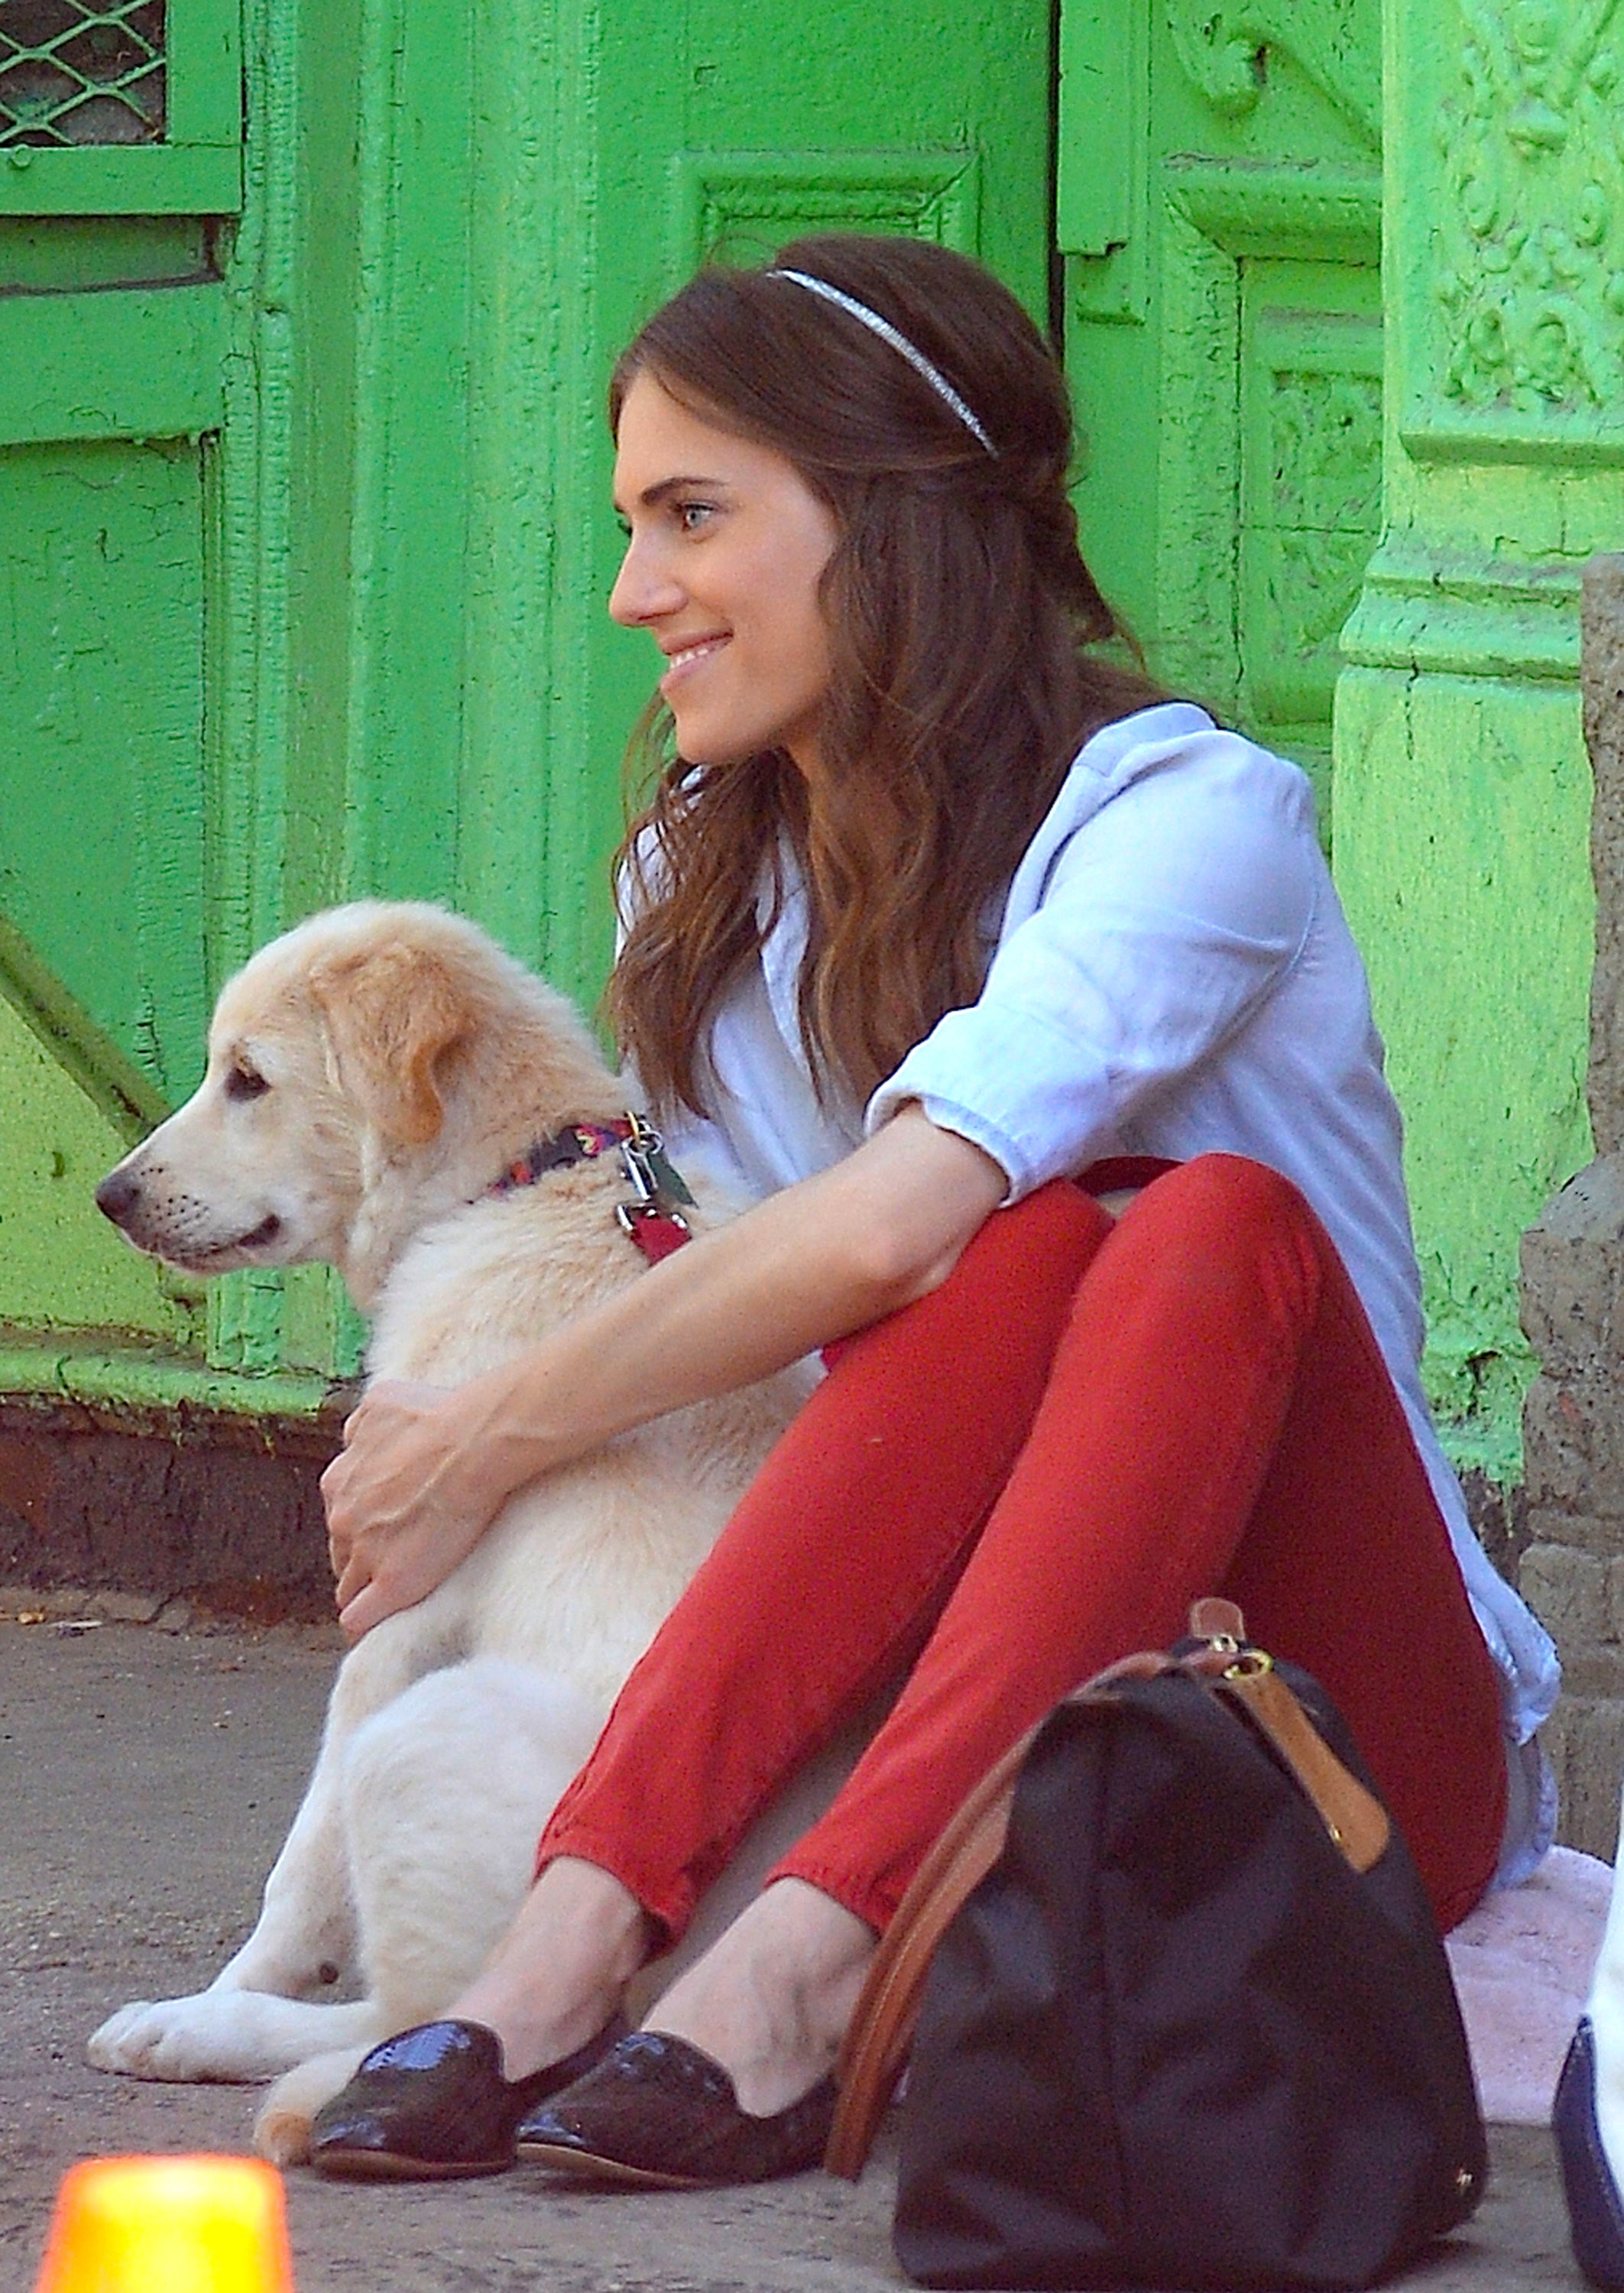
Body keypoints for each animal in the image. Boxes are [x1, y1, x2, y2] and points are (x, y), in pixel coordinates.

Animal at [89, 899, 825, 2165]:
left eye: (247, 1079)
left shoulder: (397, 1604)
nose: (110, 1196)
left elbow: (301, 1866)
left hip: (435, 1741)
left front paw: (232, 1987)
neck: (511, 1185)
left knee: (430, 2018)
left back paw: (196, 2032)